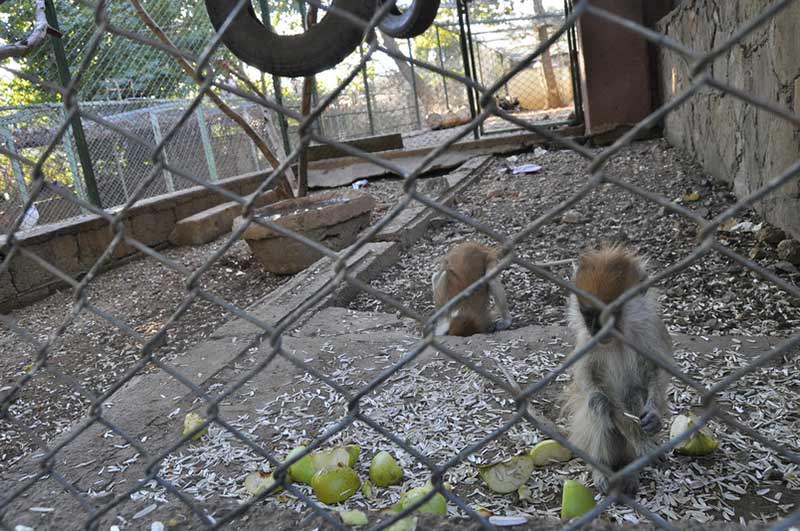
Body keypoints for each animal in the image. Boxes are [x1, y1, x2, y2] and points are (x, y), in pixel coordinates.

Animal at [560, 245, 672, 498]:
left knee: (633, 393)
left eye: (610, 315)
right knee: (597, 406)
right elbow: (588, 380)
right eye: (588, 314)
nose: (597, 330)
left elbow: (658, 370)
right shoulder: (587, 339)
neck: (618, 340)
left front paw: (654, 415)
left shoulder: (650, 328)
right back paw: (602, 469)